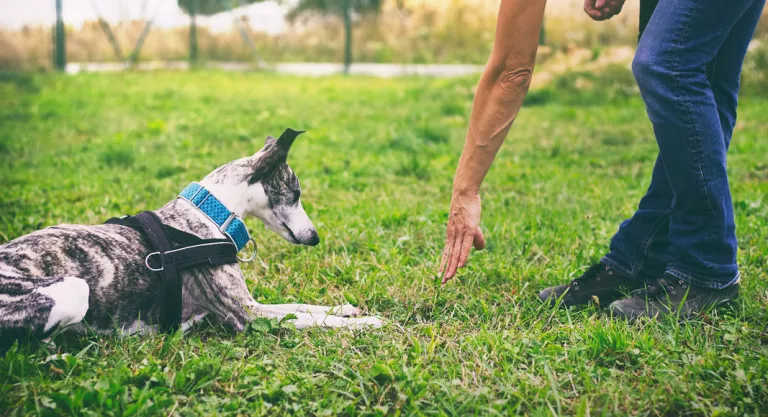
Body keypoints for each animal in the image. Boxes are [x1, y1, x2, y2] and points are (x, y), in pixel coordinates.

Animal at [0, 128, 384, 346]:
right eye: (296, 192)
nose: (315, 238)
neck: (208, 214)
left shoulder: (252, 304)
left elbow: (301, 306)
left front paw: (346, 309)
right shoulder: (246, 315)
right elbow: (312, 319)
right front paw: (366, 324)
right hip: (72, 289)